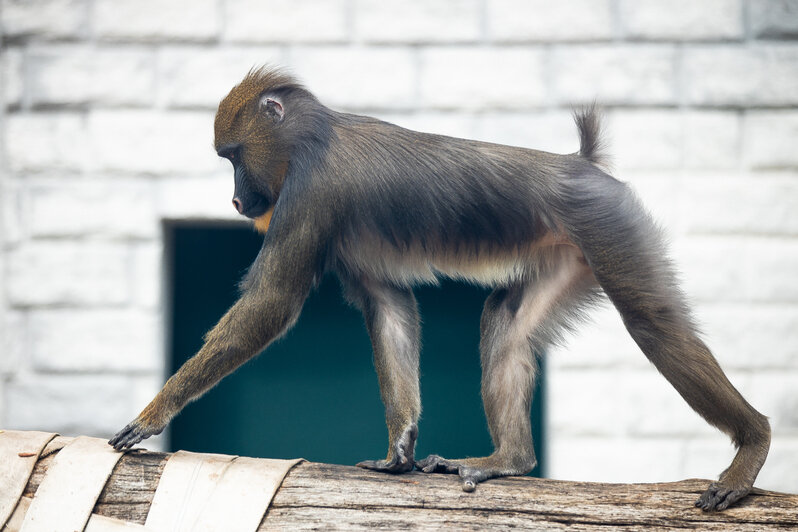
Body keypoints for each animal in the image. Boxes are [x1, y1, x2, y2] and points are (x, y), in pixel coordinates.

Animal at [109, 67, 772, 512]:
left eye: (232, 158)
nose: (235, 200)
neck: (312, 138)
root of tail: (580, 164)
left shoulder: (309, 195)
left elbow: (271, 304)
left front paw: (151, 415)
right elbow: (390, 308)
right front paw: (399, 453)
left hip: (605, 221)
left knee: (653, 322)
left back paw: (753, 443)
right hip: (568, 254)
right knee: (505, 328)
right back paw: (509, 461)